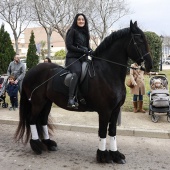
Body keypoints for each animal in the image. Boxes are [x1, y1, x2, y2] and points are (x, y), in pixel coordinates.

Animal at [14, 20, 153, 164]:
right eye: (139, 40)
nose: (150, 65)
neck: (107, 73)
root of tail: (30, 71)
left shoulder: (115, 110)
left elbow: (112, 131)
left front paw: (116, 154)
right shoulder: (105, 111)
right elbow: (102, 131)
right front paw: (103, 155)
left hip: (47, 102)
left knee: (42, 120)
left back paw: (48, 143)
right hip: (38, 102)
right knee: (32, 119)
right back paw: (36, 146)